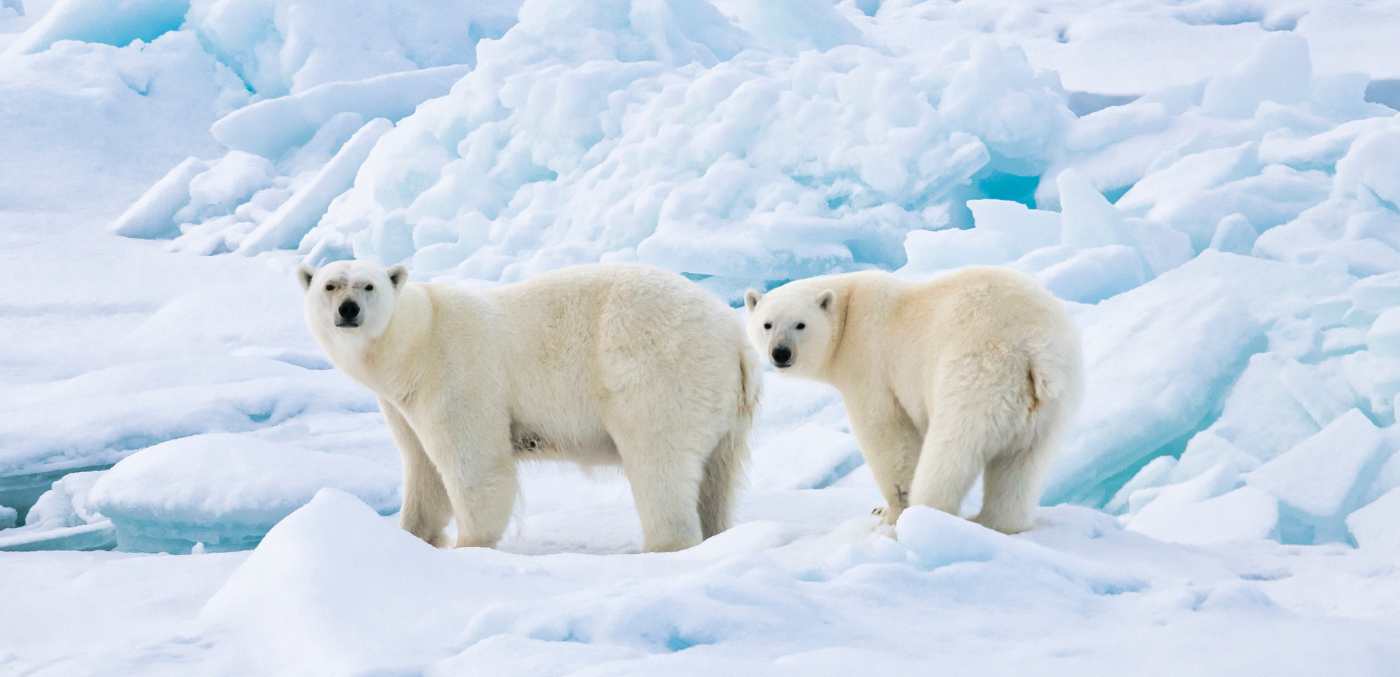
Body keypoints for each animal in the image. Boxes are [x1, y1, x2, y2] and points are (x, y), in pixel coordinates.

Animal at [299, 260, 760, 552]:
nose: (348, 310)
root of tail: (734, 339)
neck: (417, 338)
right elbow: (422, 469)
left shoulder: (459, 374)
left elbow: (476, 465)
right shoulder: (402, 404)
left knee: (658, 462)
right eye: (330, 284)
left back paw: (666, 543)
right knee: (717, 477)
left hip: (658, 372)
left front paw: (470, 544)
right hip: (726, 410)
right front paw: (412, 535)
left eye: (368, 285)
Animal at [743, 267, 1081, 534]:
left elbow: (888, 435)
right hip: (1050, 404)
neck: (849, 312)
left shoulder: (870, 366)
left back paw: (926, 516)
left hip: (976, 374)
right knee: (1022, 466)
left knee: (950, 451)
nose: (781, 353)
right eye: (767, 324)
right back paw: (993, 522)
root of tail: (1034, 350)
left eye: (800, 324)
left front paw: (889, 512)